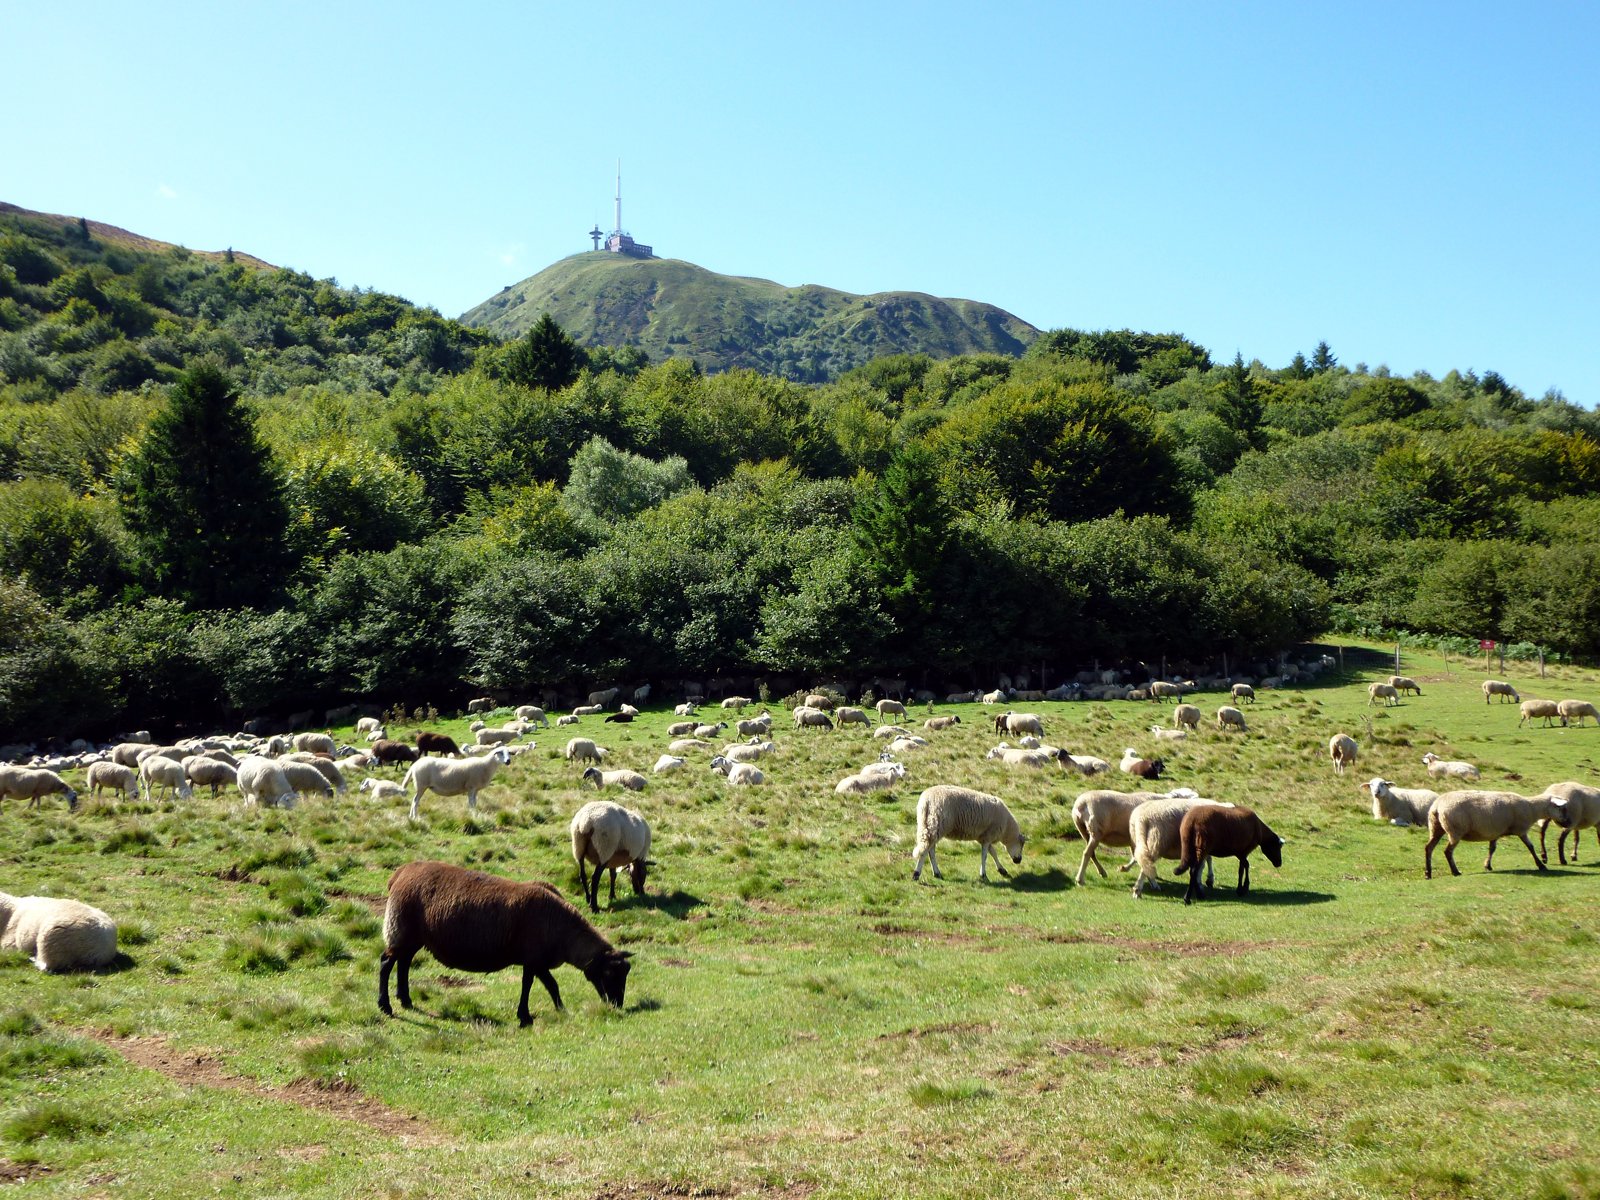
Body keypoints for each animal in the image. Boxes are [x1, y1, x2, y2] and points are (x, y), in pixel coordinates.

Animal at [378, 860, 632, 1025]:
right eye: (609, 974)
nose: (617, 1005)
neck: (564, 934)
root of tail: (399, 874)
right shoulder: (533, 958)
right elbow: (531, 985)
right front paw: (525, 1017)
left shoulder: (538, 961)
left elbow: (551, 985)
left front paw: (561, 1010)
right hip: (401, 926)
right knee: (386, 963)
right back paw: (386, 1007)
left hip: (413, 936)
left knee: (404, 962)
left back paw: (406, 1001)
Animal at [1425, 789, 1573, 877]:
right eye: (1562, 808)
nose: (1568, 823)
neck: (1532, 808)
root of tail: (1437, 806)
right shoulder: (1521, 830)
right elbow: (1530, 847)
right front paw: (1541, 865)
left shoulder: (1495, 832)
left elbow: (1492, 849)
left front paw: (1487, 865)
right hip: (1455, 829)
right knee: (1448, 851)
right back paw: (1455, 871)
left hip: (1436, 827)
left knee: (1428, 848)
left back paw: (1428, 873)